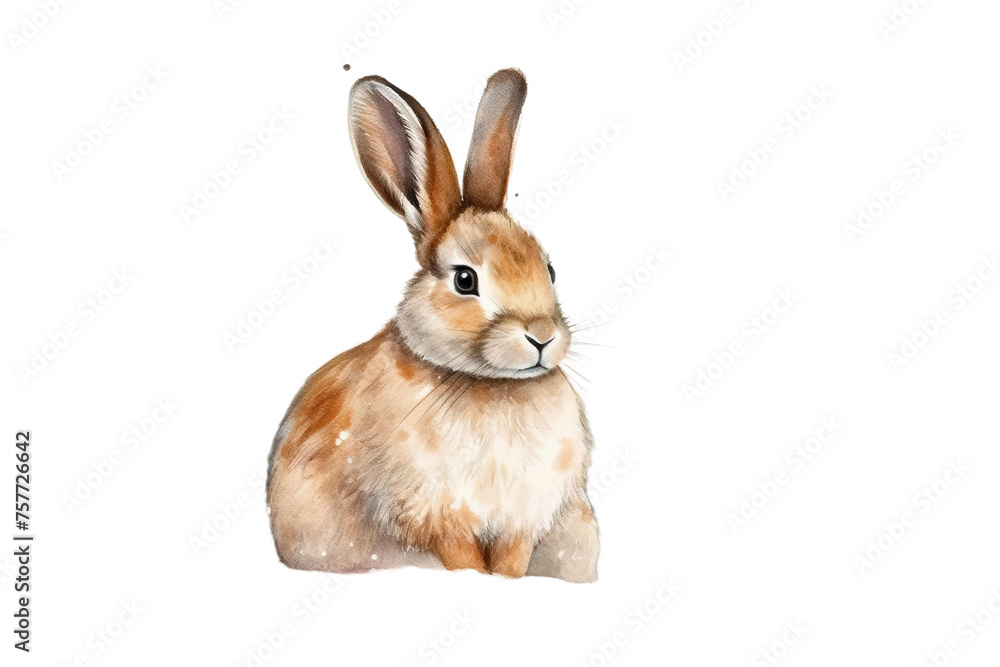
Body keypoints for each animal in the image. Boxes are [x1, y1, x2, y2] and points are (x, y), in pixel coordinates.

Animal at [267, 69, 599, 582]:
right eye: (465, 280)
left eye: (550, 270)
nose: (542, 336)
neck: (492, 387)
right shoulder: (437, 518)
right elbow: (463, 561)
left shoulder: (521, 524)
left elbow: (511, 563)